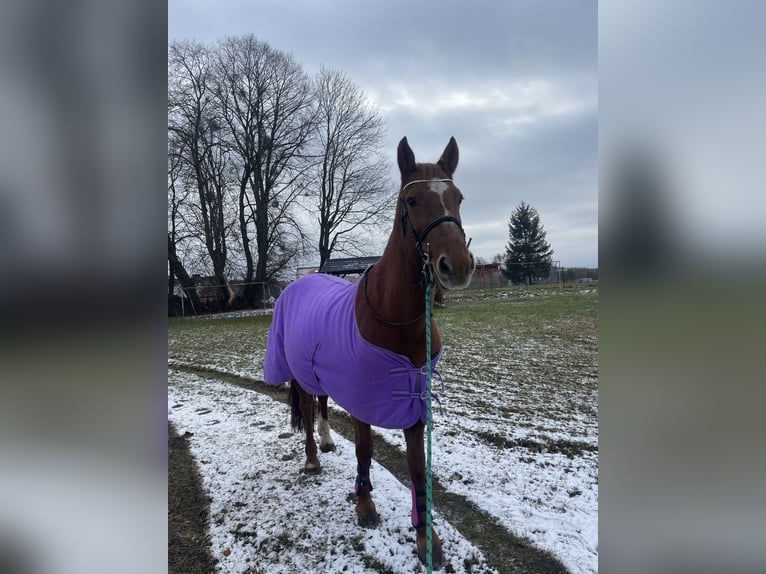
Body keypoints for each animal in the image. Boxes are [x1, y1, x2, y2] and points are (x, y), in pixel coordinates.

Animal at [263, 136, 475, 569]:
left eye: (458, 197)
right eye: (411, 200)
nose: (457, 267)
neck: (396, 317)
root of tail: (296, 285)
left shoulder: (413, 400)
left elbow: (417, 468)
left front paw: (427, 539)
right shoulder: (363, 398)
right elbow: (364, 451)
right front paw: (364, 505)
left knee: (322, 402)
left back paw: (328, 440)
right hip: (298, 370)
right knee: (307, 406)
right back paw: (313, 457)